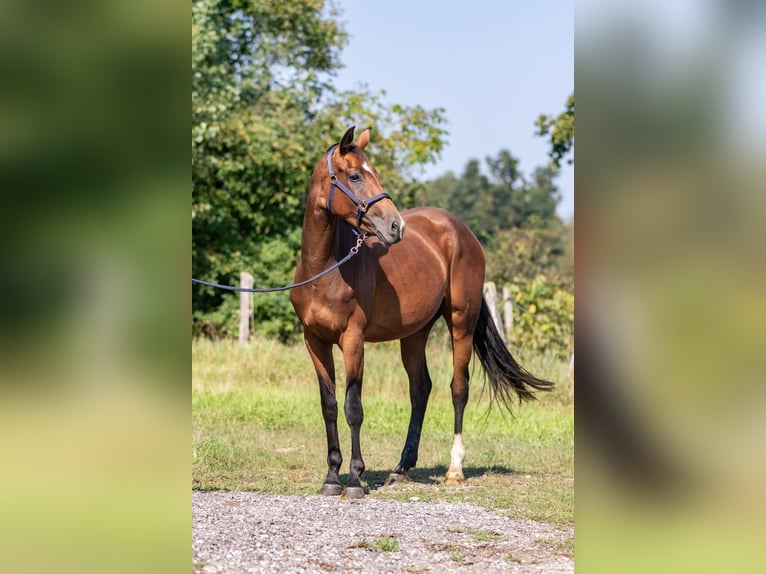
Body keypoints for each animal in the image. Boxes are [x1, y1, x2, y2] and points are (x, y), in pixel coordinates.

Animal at [292, 126, 556, 500]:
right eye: (355, 175)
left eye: (374, 172)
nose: (395, 227)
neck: (326, 270)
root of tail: (461, 231)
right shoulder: (314, 341)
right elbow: (329, 406)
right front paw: (331, 478)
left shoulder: (353, 340)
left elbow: (353, 407)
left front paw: (355, 480)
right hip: (414, 333)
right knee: (421, 389)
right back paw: (401, 469)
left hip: (461, 322)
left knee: (458, 388)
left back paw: (454, 470)